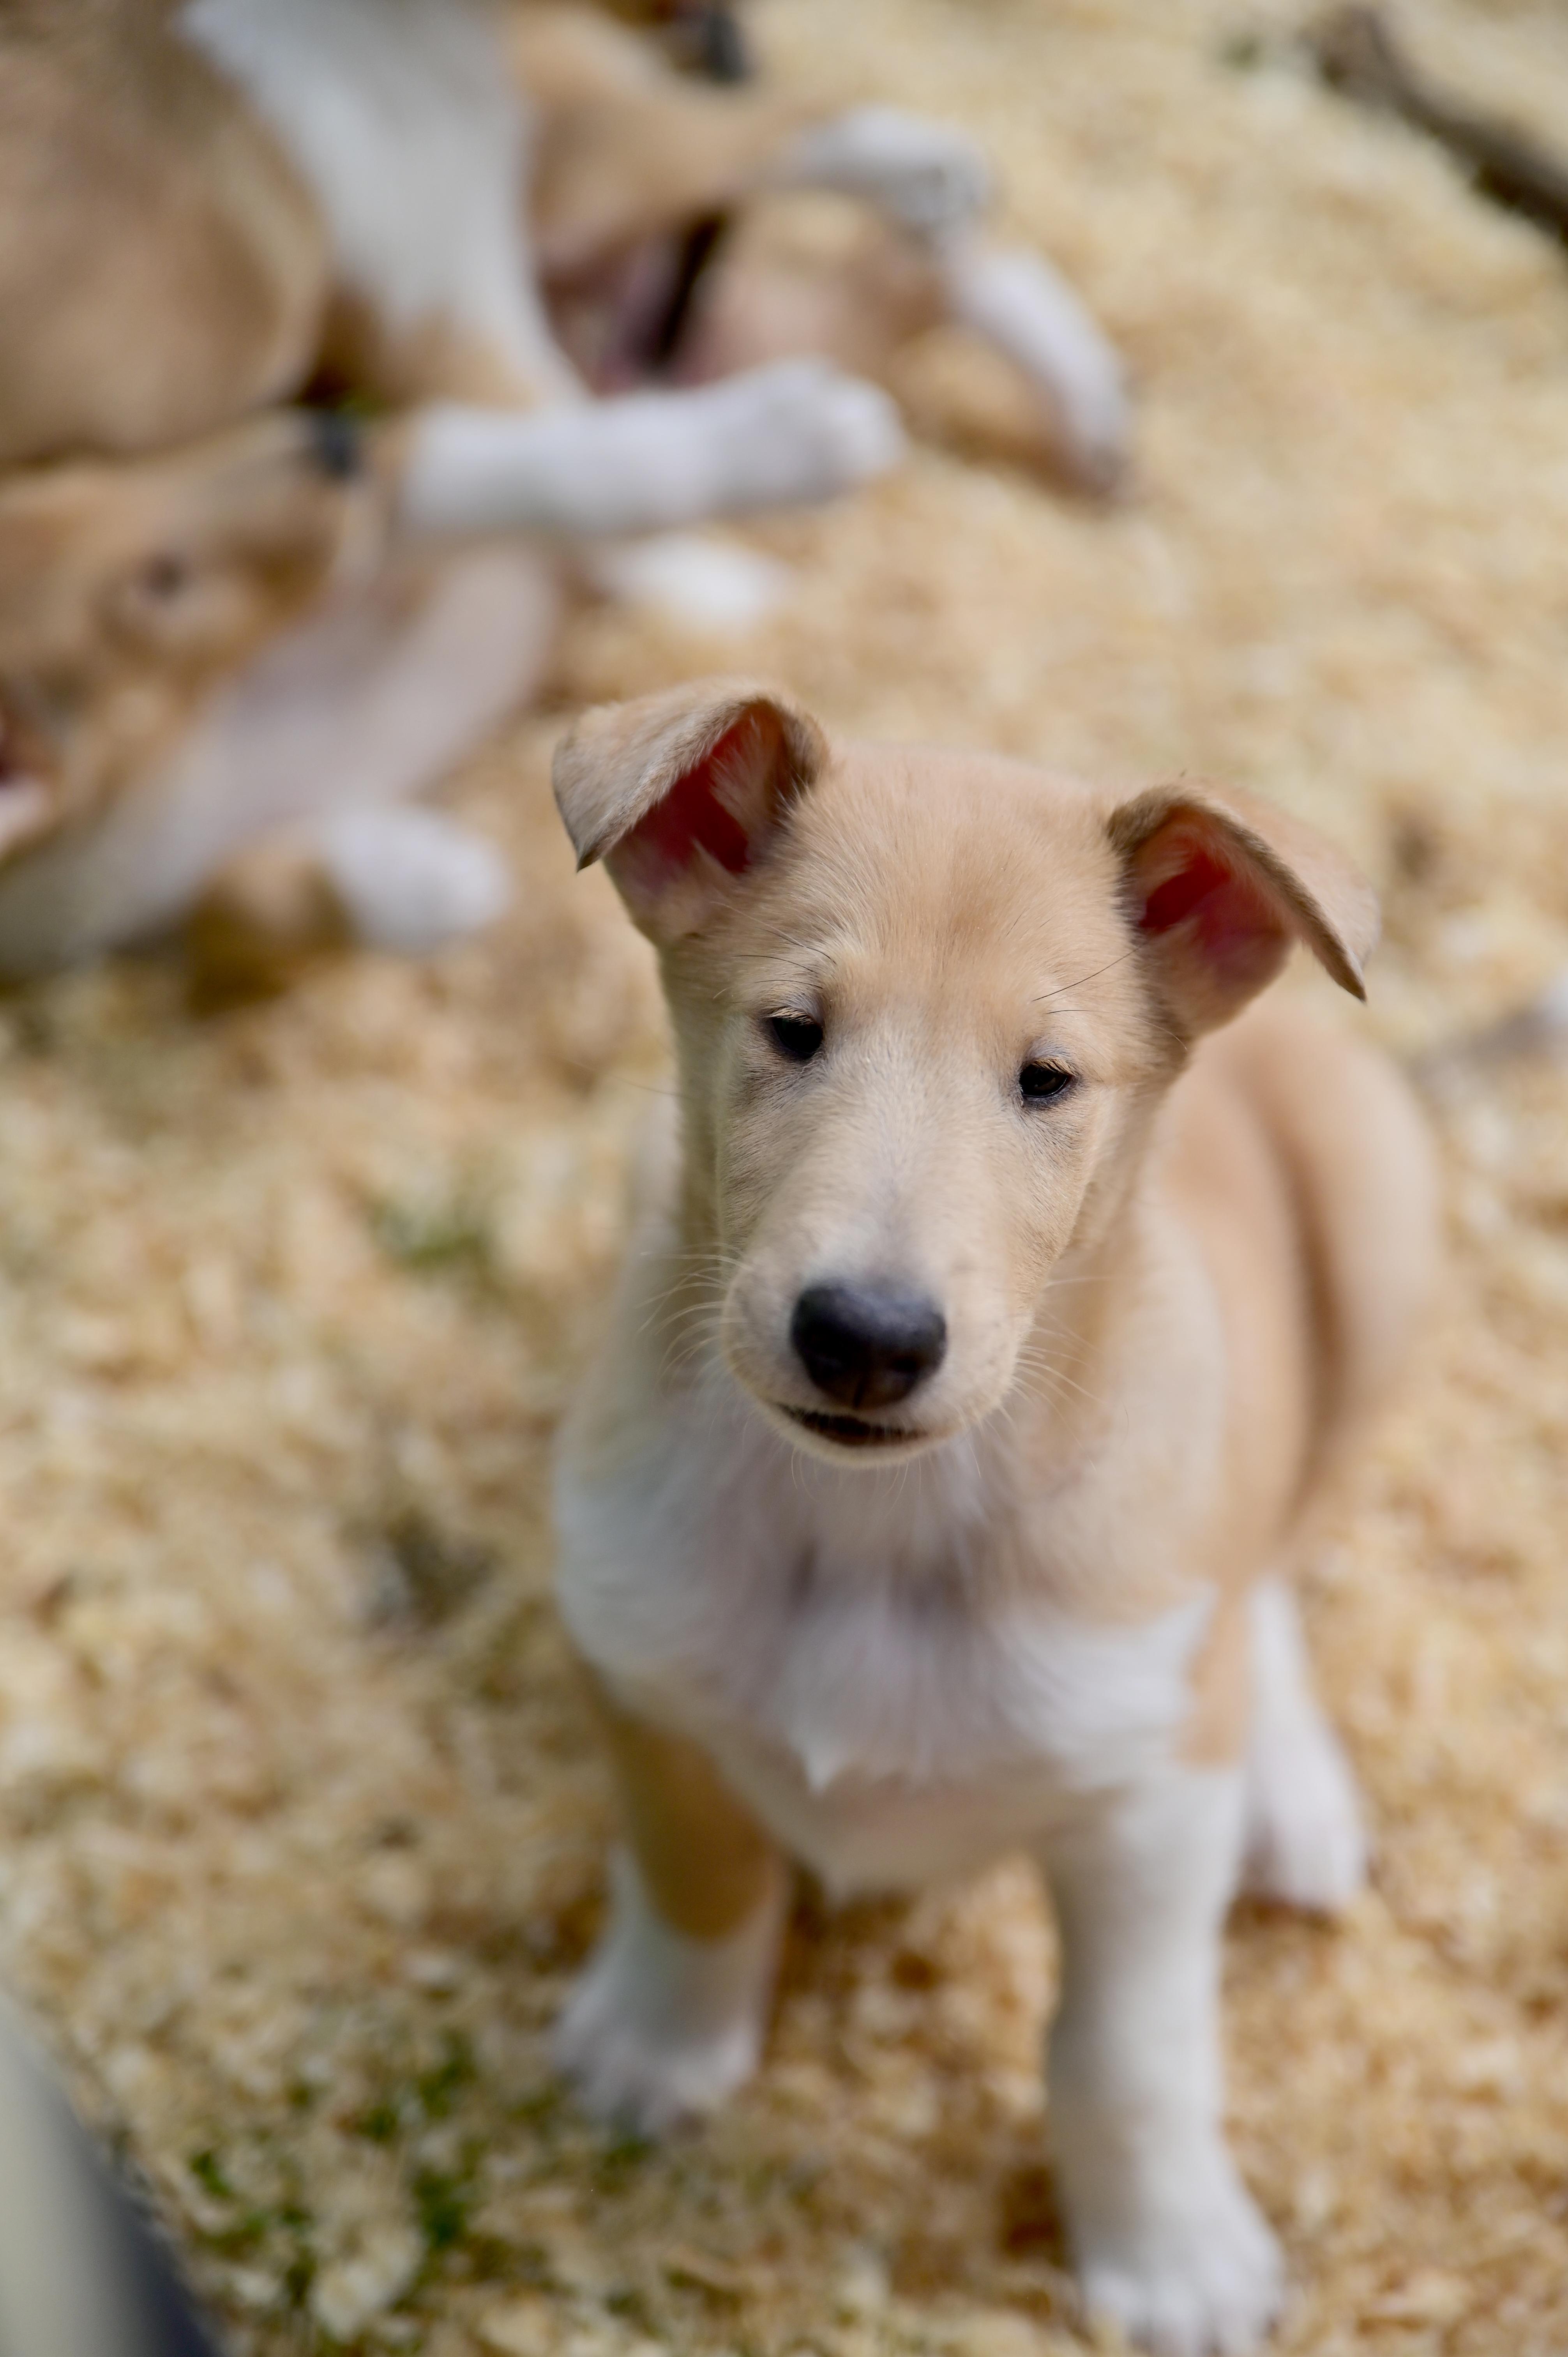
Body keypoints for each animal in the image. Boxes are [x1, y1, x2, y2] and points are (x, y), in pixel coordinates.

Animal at [546, 682, 1438, 2357]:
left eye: (1045, 1078)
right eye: (792, 1030)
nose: (865, 1337)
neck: (871, 1523)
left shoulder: (1146, 1808)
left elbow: (1126, 2051)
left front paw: (1171, 2253)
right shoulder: (642, 1672)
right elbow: (695, 1881)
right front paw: (651, 2048)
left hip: (1372, 1234)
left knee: (1270, 1562)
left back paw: (1291, 1787)